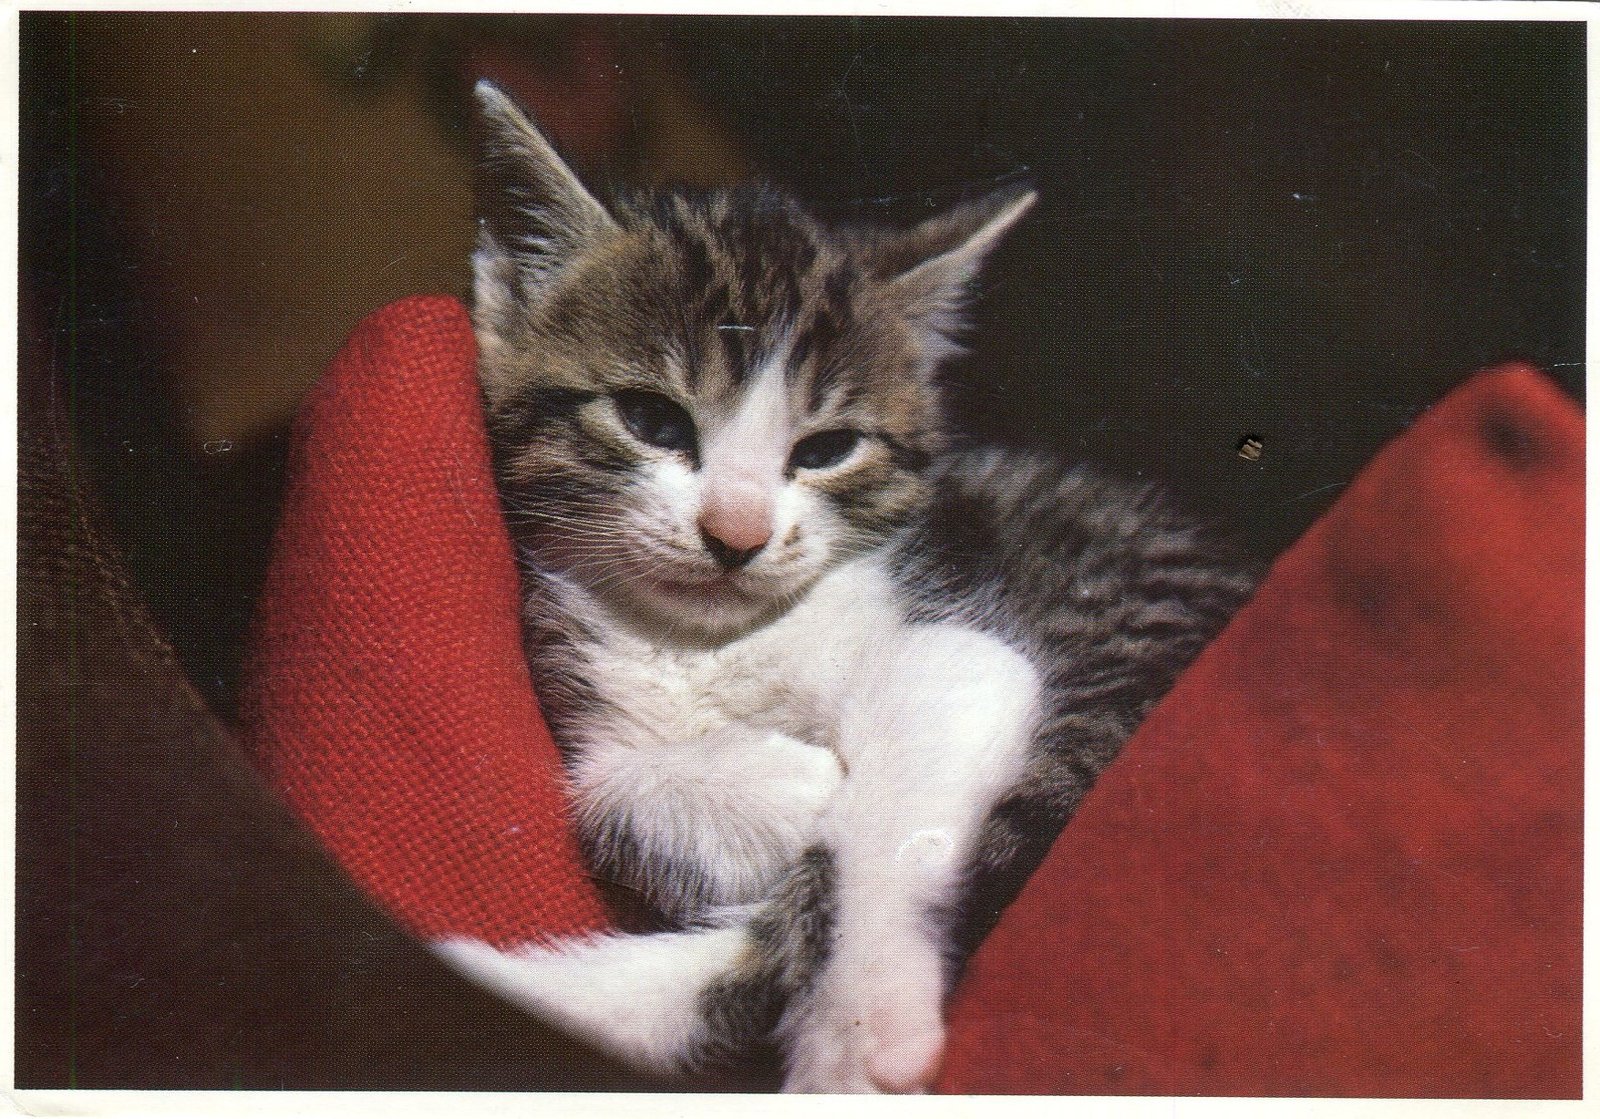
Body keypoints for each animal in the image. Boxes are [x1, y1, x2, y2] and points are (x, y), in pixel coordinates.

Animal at [435, 80, 1255, 1093]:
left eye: (826, 449)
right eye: (650, 419)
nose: (736, 534)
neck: (714, 644)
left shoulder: (961, 644)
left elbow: (897, 781)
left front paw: (861, 1022)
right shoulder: (587, 682)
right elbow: (608, 785)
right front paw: (795, 791)